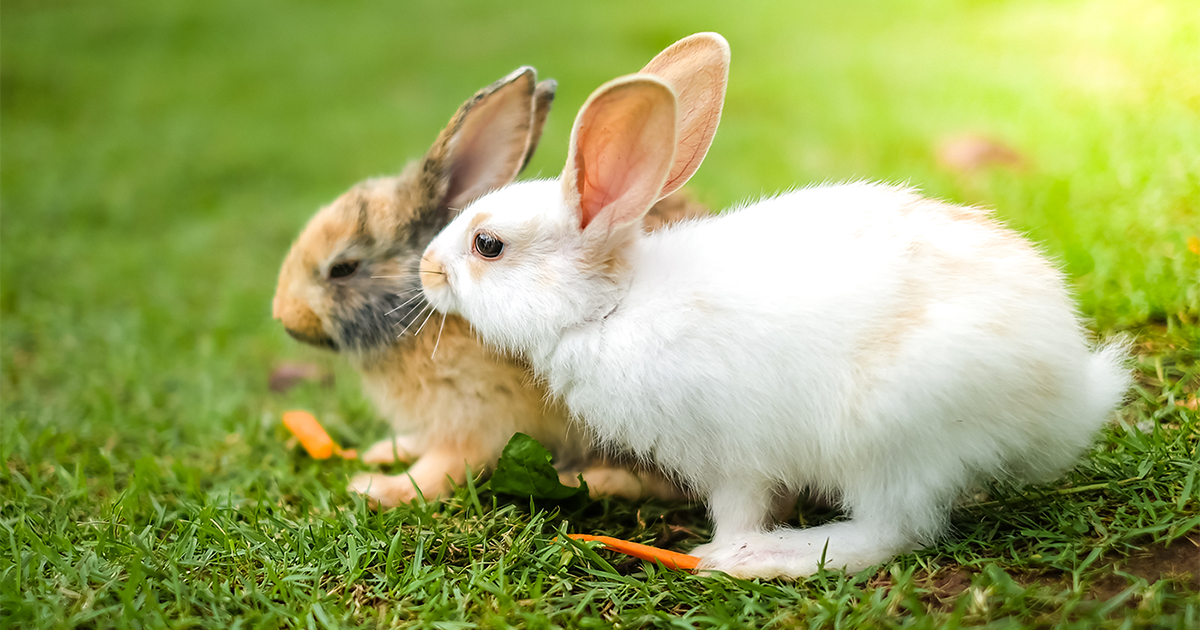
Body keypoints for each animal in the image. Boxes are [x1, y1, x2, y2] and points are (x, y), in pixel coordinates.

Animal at [274, 63, 700, 506]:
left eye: (343, 268)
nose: (283, 316)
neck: (418, 314)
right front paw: (384, 453)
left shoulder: (475, 417)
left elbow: (441, 467)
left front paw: (376, 488)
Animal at [417, 33, 1128, 573]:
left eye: (487, 245)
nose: (426, 268)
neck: (610, 306)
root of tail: (1068, 399)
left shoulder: (730, 456)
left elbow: (739, 507)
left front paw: (726, 547)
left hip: (892, 437)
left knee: (892, 531)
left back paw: (767, 558)